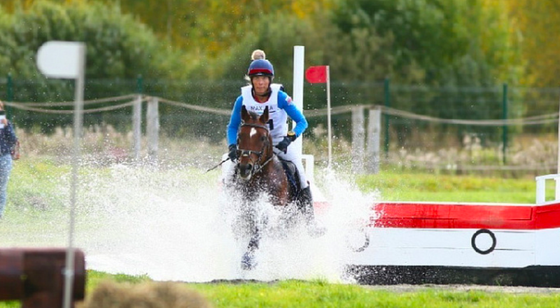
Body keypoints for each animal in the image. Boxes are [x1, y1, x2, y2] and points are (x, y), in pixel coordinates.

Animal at [226, 105, 296, 270]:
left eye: (262, 138)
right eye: (239, 136)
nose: (245, 168)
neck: (258, 177)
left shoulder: (272, 208)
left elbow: (260, 228)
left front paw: (248, 259)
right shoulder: (243, 209)